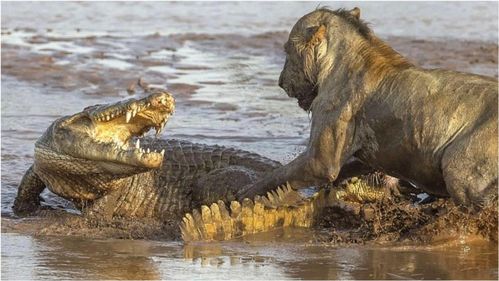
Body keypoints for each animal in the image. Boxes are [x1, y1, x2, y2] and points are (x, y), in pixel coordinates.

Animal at [239, 7, 499, 208]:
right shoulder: (366, 155)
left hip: (460, 170)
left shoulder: (321, 157)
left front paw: (243, 194)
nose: (280, 81)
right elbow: (348, 169)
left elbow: (279, 175)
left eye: (287, 51)